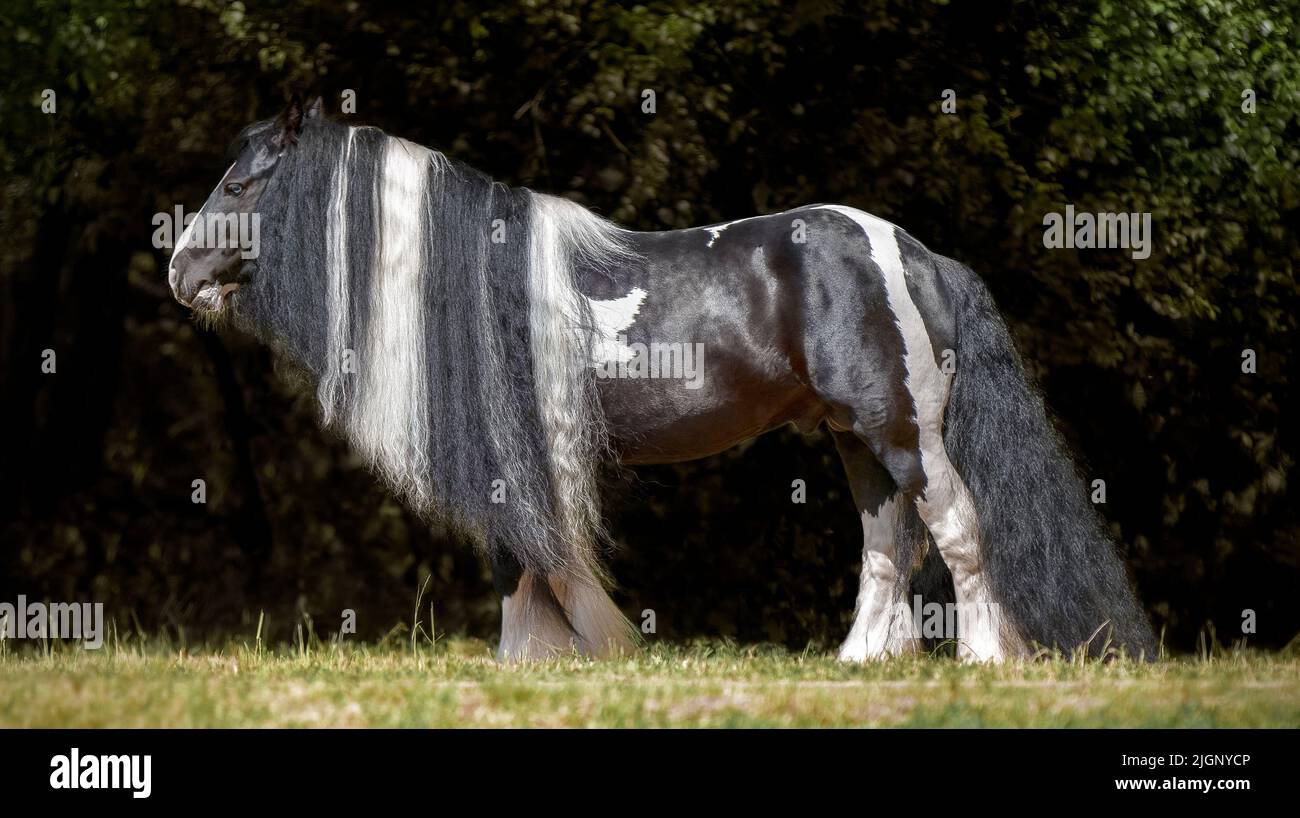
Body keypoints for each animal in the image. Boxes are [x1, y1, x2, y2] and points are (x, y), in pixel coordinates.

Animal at [167, 96, 1155, 662]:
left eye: (241, 186)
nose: (178, 270)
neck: (474, 284)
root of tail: (915, 252)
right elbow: (522, 563)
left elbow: (527, 561)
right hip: (854, 438)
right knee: (887, 543)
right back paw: (859, 666)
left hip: (900, 429)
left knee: (955, 526)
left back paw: (987, 659)